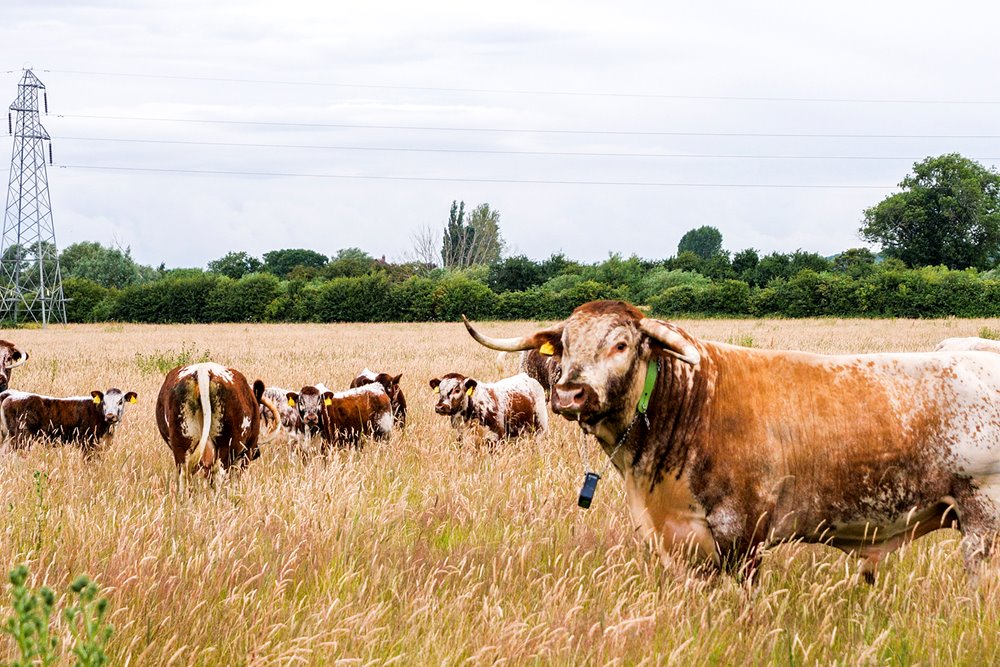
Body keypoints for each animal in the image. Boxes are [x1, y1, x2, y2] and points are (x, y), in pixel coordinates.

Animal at [0, 386, 137, 460]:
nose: (110, 416)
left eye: (120, 401)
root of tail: (11, 394)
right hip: (19, 439)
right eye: (104, 401)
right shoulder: (87, 443)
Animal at [464, 300, 1000, 588]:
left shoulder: (743, 534)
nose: (570, 393)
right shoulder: (682, 538)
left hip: (982, 519)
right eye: (566, 346)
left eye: (621, 344)